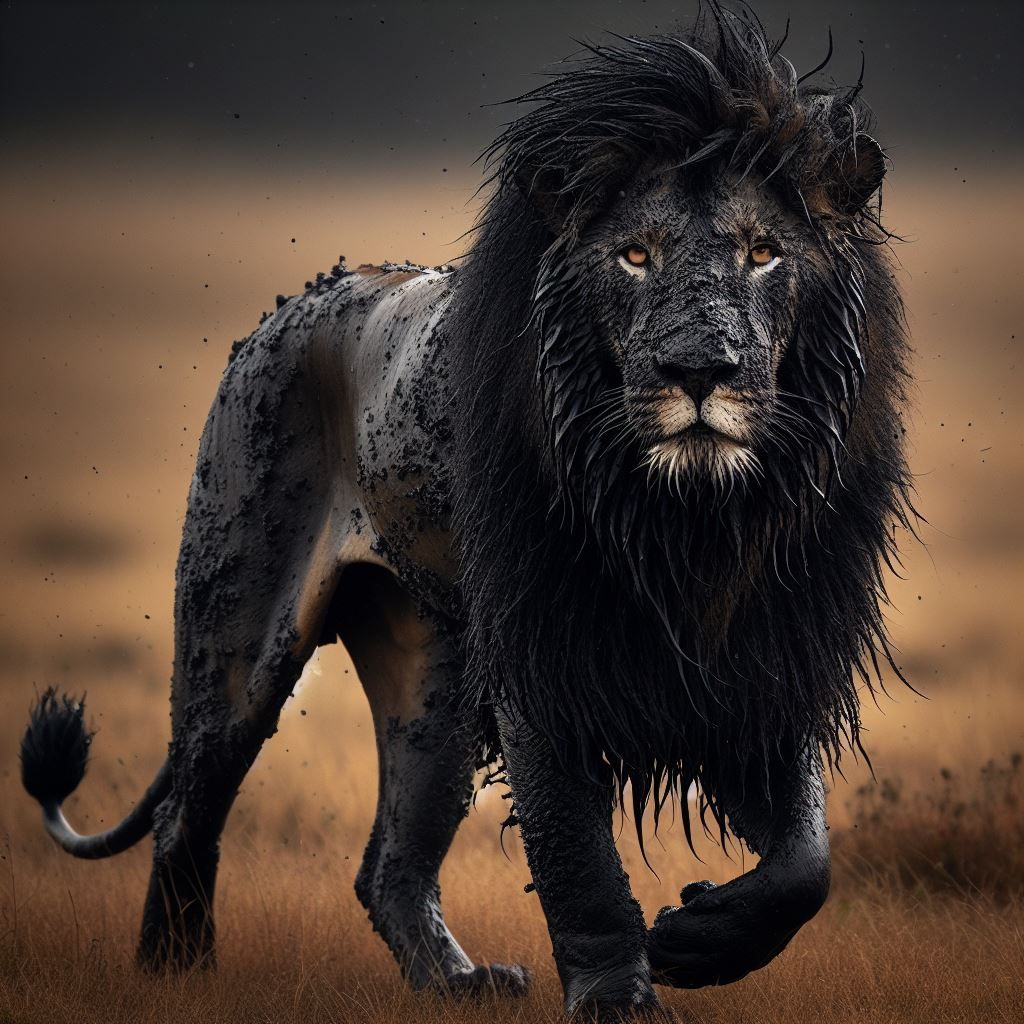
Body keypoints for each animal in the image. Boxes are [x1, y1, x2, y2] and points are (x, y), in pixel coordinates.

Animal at [21, 6, 913, 1020]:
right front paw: (620, 996)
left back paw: (458, 982)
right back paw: (177, 974)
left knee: (389, 865)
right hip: (237, 624)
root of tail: (295, 304)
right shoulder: (544, 656)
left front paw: (699, 938)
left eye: (764, 253)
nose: (698, 370)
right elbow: (576, 854)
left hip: (435, 682)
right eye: (634, 255)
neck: (689, 521)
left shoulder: (777, 645)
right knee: (185, 809)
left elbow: (807, 859)